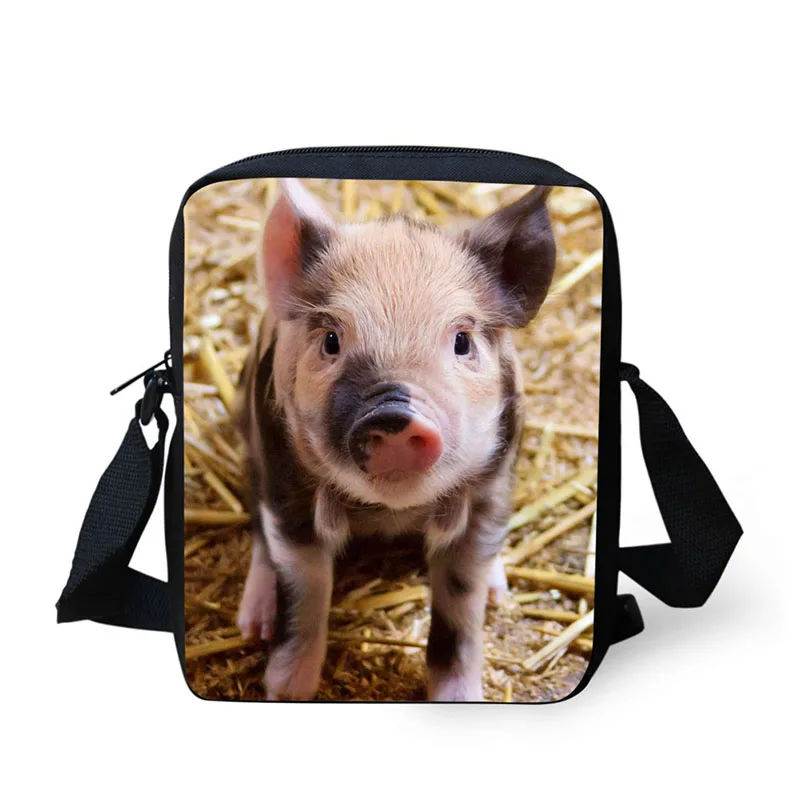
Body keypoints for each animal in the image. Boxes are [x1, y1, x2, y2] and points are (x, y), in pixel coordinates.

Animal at [235, 178, 556, 701]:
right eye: (331, 339)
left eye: (462, 340)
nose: (394, 414)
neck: (390, 513)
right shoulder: (286, 485)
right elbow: (304, 590)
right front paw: (285, 692)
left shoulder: (490, 489)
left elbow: (461, 605)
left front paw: (461, 696)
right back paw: (253, 625)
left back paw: (498, 591)